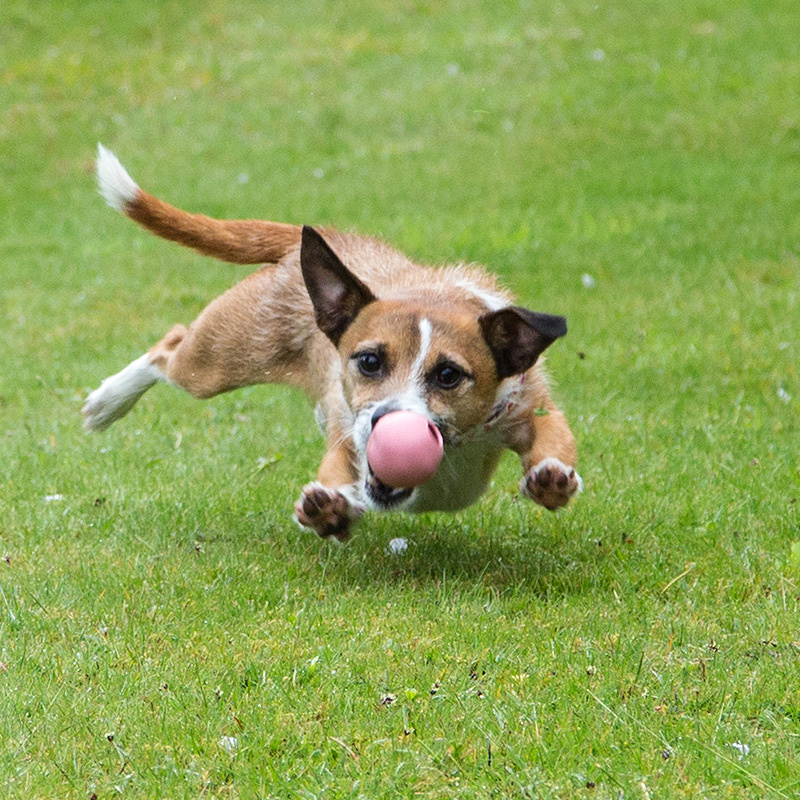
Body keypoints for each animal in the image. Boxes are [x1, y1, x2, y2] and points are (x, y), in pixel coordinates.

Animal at [84, 147, 580, 540]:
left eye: (448, 375)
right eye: (370, 361)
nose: (387, 424)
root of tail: (319, 241)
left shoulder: (529, 403)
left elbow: (554, 437)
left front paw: (551, 477)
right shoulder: (347, 439)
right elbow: (338, 474)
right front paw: (329, 509)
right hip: (218, 357)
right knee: (169, 346)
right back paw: (107, 403)